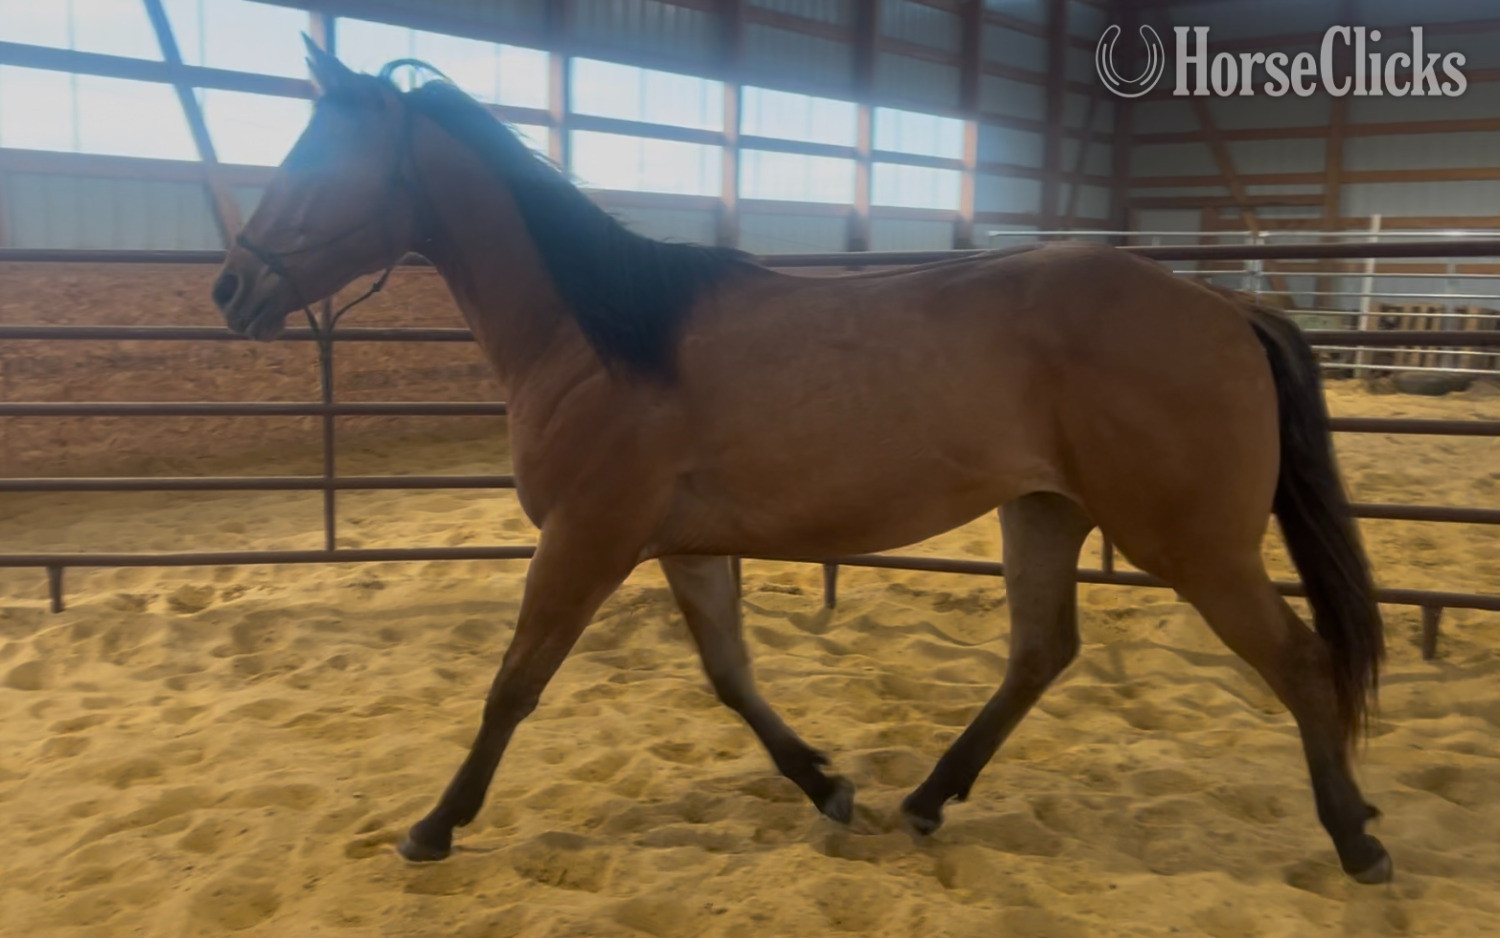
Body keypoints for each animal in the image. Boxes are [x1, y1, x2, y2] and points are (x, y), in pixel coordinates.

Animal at [210, 40, 1391, 883]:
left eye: (313, 163)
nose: (231, 290)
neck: (600, 340)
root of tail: (1225, 308)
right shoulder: (680, 547)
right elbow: (732, 678)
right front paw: (826, 786)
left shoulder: (585, 541)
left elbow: (514, 686)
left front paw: (433, 825)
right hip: (1045, 511)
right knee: (1041, 652)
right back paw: (925, 799)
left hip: (1193, 545)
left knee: (1298, 663)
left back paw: (1357, 840)